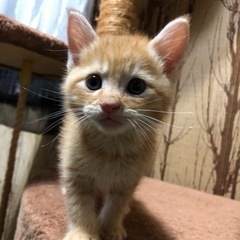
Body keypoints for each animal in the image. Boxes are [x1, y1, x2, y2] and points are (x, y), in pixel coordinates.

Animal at [58, 8, 189, 240]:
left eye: (136, 86)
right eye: (93, 82)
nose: (109, 105)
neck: (109, 149)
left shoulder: (128, 181)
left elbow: (116, 204)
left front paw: (110, 227)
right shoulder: (75, 173)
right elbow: (78, 204)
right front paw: (82, 232)